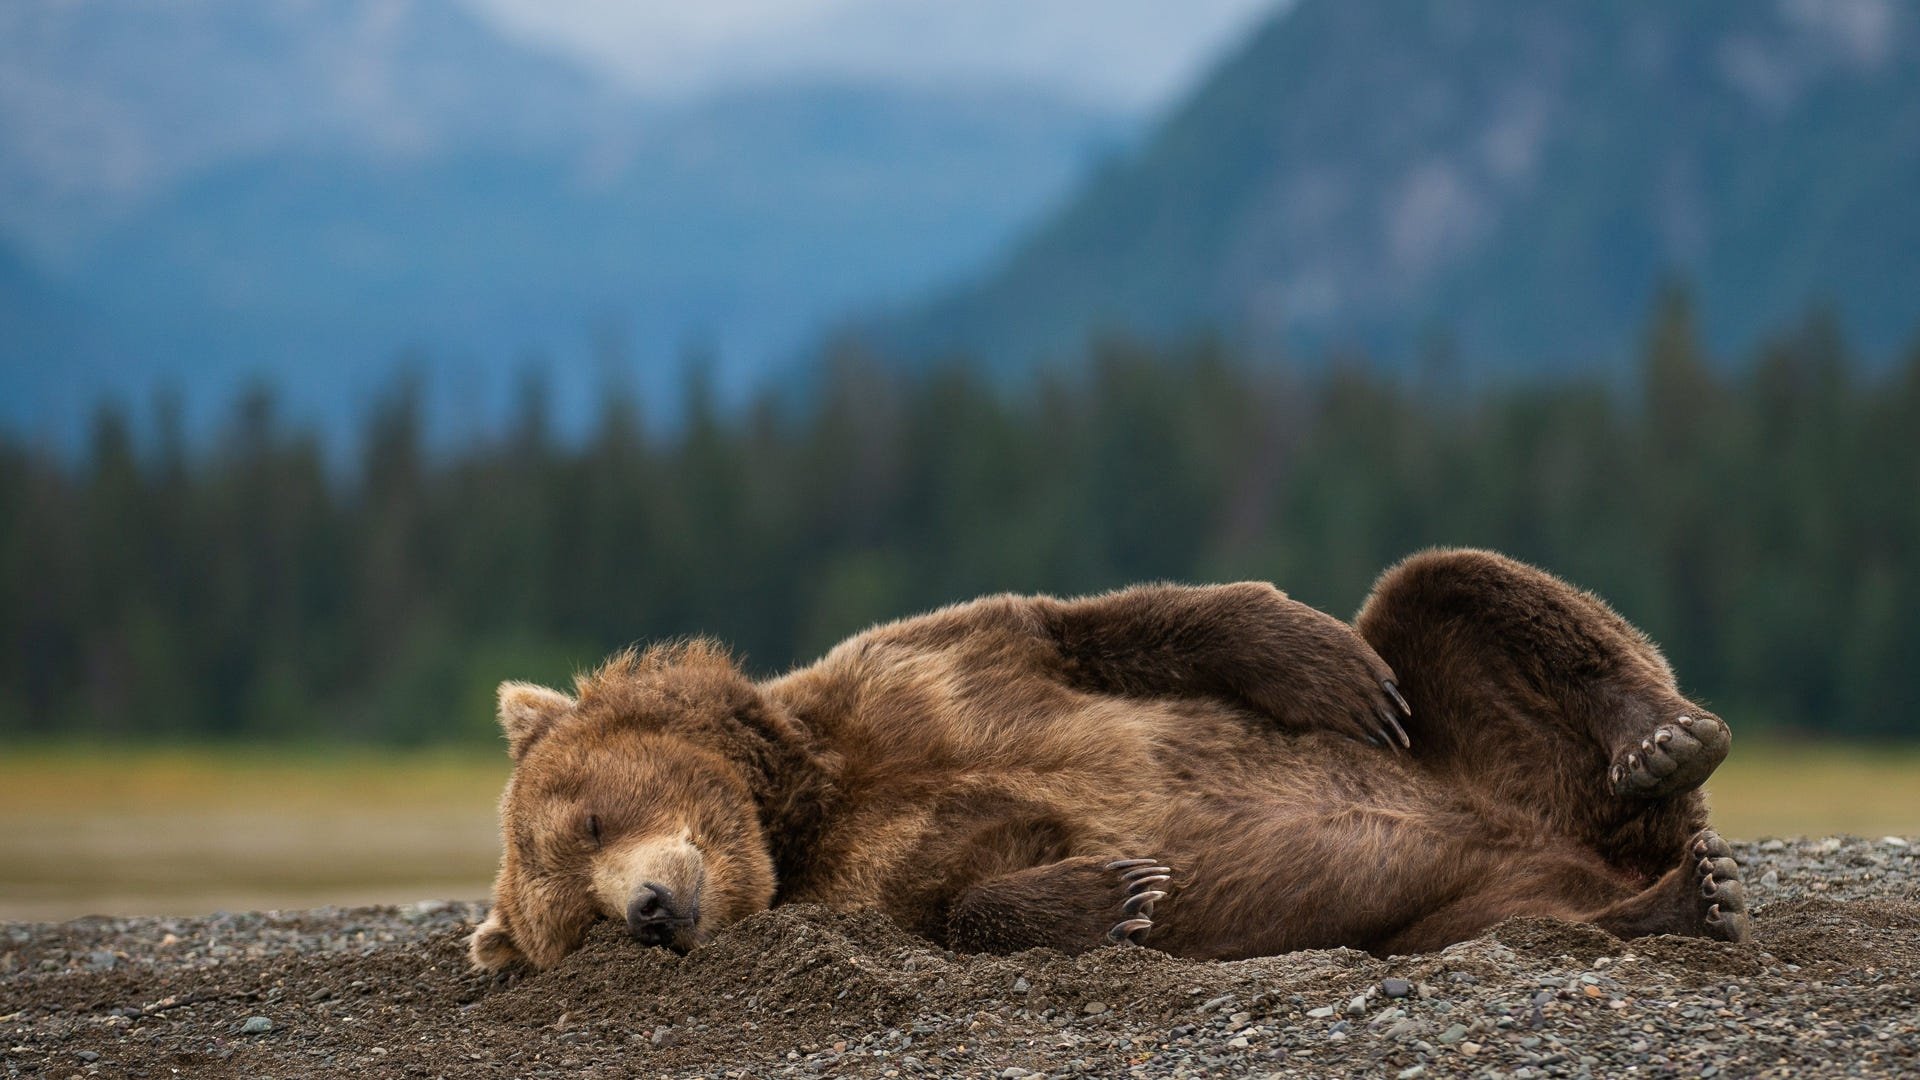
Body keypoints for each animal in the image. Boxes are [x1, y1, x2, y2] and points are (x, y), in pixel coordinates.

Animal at [469, 548, 1746, 976]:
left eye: (585, 820)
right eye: (573, 926)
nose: (646, 912)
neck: (808, 798)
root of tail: (1585, 844)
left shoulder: (933, 670)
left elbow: (1109, 622)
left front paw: (1324, 667)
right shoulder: (872, 877)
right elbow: (954, 905)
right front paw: (1118, 893)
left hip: (1487, 744)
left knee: (1444, 589)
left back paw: (1664, 743)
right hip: (1452, 903)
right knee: (1514, 921)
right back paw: (1684, 901)